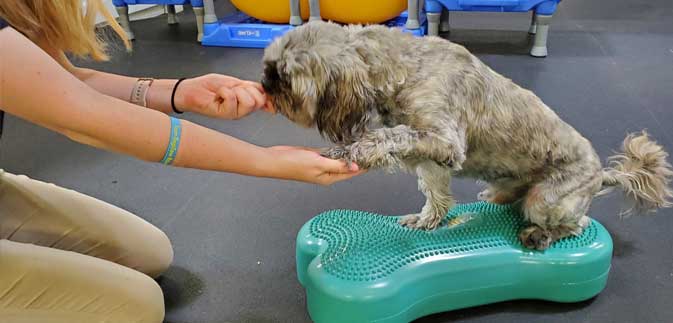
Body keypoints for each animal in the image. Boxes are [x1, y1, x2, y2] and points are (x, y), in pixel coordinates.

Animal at [258, 21, 672, 251]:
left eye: (285, 78)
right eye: (268, 68)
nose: (264, 85)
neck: (404, 67)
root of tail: (603, 174)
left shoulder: (442, 140)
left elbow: (389, 137)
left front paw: (356, 150)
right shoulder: (431, 157)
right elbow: (435, 192)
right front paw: (428, 220)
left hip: (547, 199)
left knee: (576, 224)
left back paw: (541, 235)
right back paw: (500, 195)